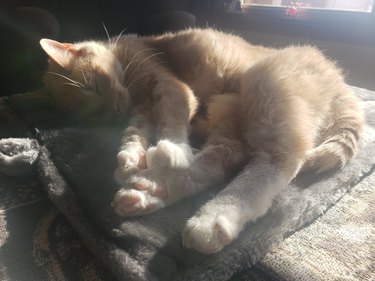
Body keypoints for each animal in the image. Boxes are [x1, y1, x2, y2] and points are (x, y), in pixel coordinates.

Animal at [38, 29, 364, 254]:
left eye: (93, 87)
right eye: (94, 115)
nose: (116, 110)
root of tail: (338, 78)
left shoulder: (168, 86)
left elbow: (172, 118)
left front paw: (172, 147)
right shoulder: (142, 111)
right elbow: (133, 133)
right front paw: (130, 159)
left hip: (264, 88)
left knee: (276, 160)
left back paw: (214, 216)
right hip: (230, 118)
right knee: (217, 163)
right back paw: (150, 189)